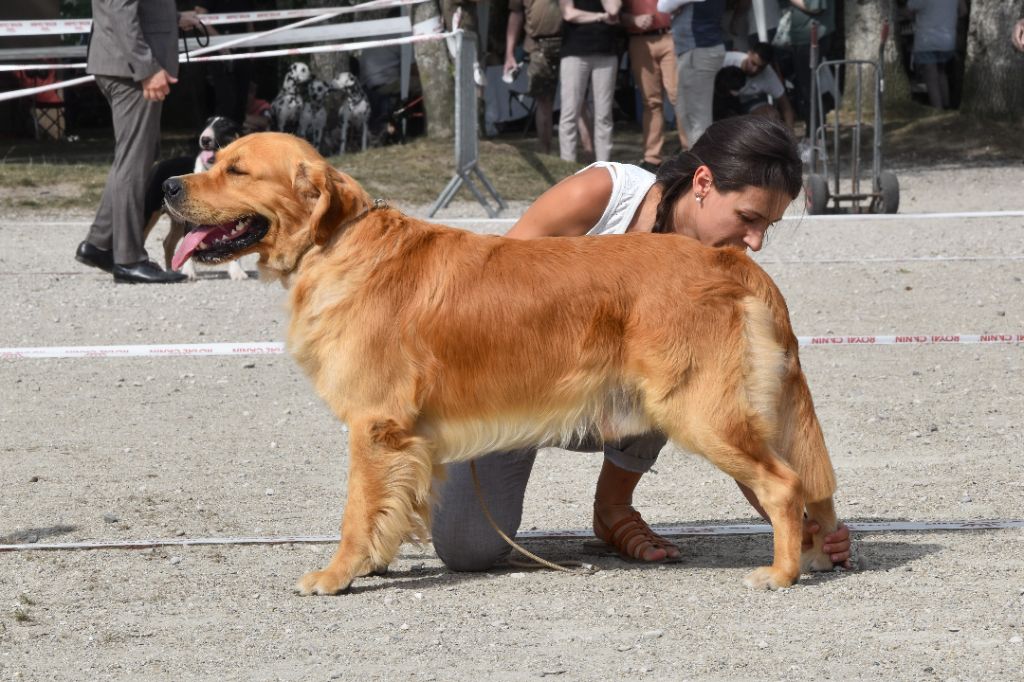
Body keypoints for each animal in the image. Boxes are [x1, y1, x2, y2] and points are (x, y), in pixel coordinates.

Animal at [142, 116, 247, 278]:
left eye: (224, 125)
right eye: (206, 124)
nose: (204, 139)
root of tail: (159, 164)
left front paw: (237, 272)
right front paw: (189, 272)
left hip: (177, 221)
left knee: (168, 243)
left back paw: (171, 271)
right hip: (151, 212)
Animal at [163, 130, 839, 593]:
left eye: (237, 169)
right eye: (214, 160)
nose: (168, 186)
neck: (338, 243)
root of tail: (732, 260)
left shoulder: (374, 426)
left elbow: (357, 510)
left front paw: (337, 574)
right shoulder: (402, 438)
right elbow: (389, 507)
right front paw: (375, 561)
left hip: (699, 408)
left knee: (785, 484)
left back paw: (780, 571)